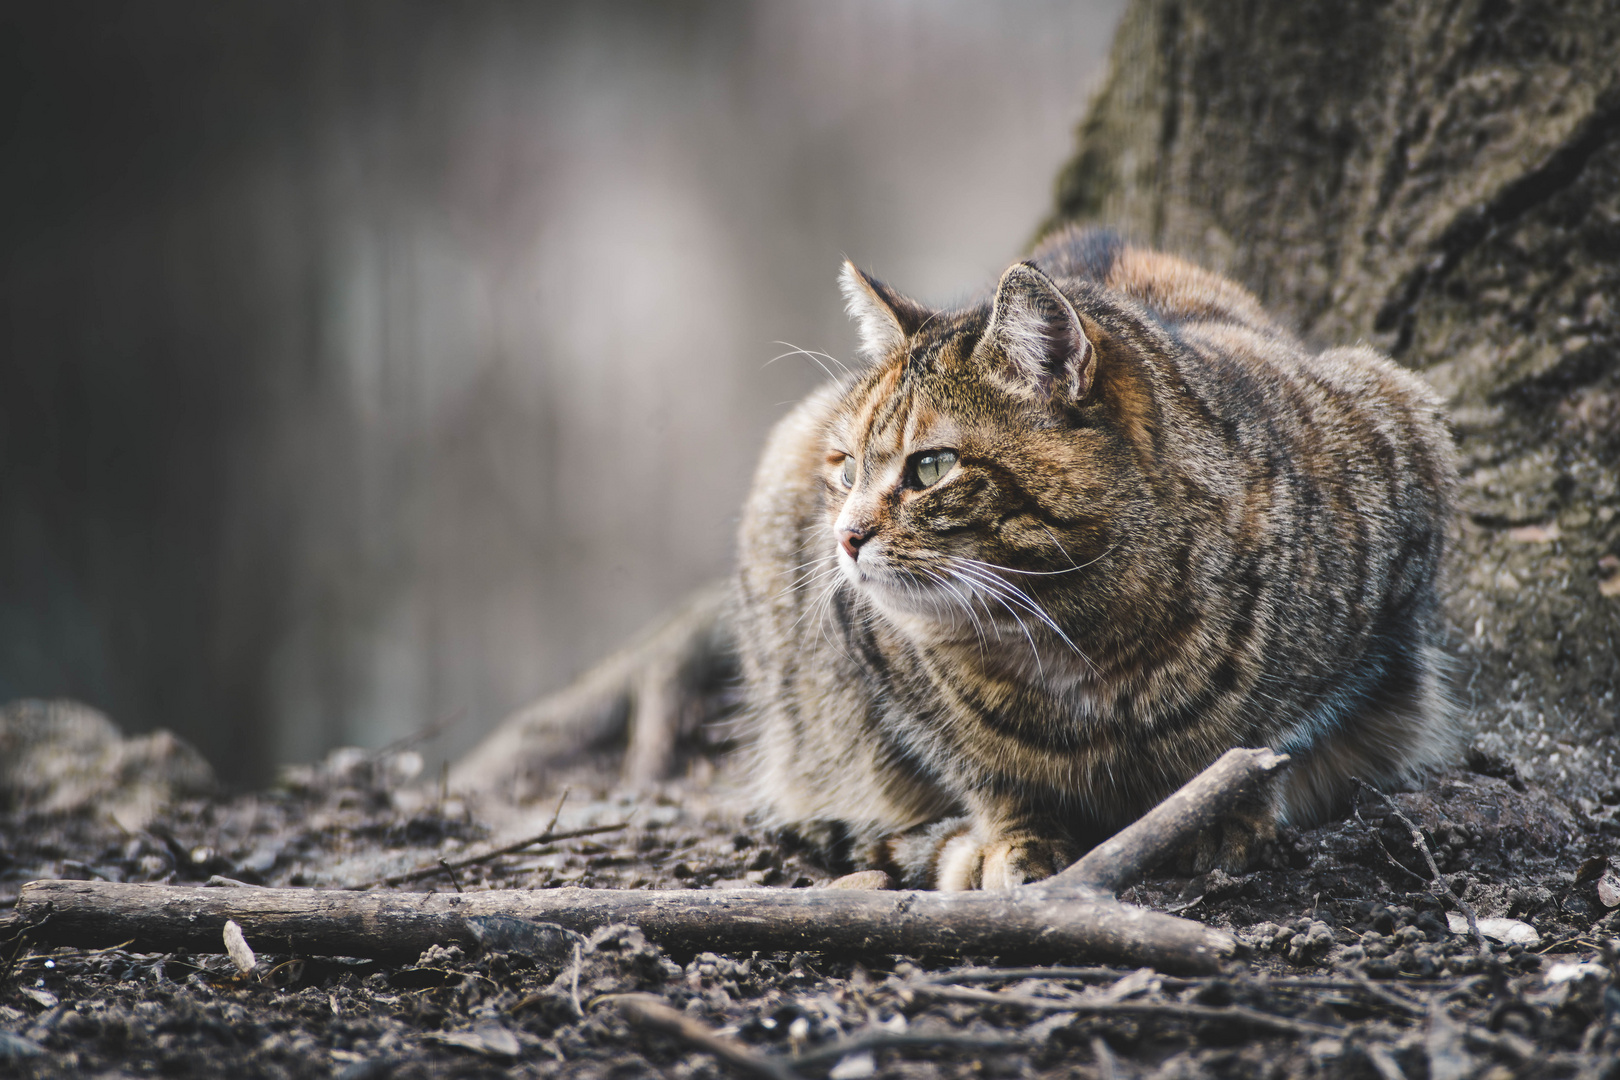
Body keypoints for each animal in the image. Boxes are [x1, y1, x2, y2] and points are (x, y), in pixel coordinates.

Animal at [729, 226, 1464, 887]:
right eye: (846, 468)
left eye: (931, 466)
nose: (845, 537)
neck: (1079, 632)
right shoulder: (886, 667)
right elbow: (985, 770)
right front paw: (1013, 841)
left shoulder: (1395, 462)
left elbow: (1268, 735)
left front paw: (1228, 812)